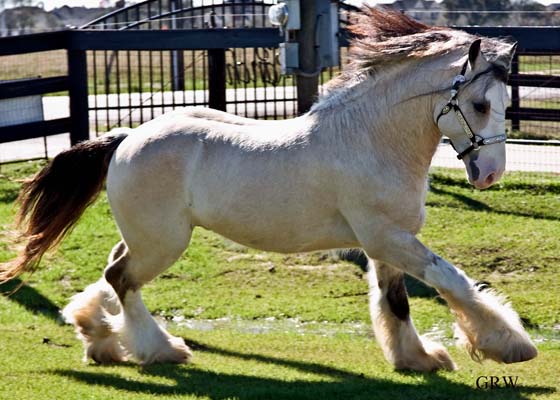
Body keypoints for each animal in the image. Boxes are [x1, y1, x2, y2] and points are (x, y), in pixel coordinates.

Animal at [1, 10, 540, 372]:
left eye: (502, 103)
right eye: (479, 104)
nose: (489, 174)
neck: (369, 139)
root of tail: (125, 138)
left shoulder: (385, 244)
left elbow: (396, 303)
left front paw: (418, 359)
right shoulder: (387, 238)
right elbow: (451, 280)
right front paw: (509, 344)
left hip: (146, 236)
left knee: (111, 272)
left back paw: (97, 336)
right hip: (163, 243)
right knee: (122, 278)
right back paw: (162, 349)